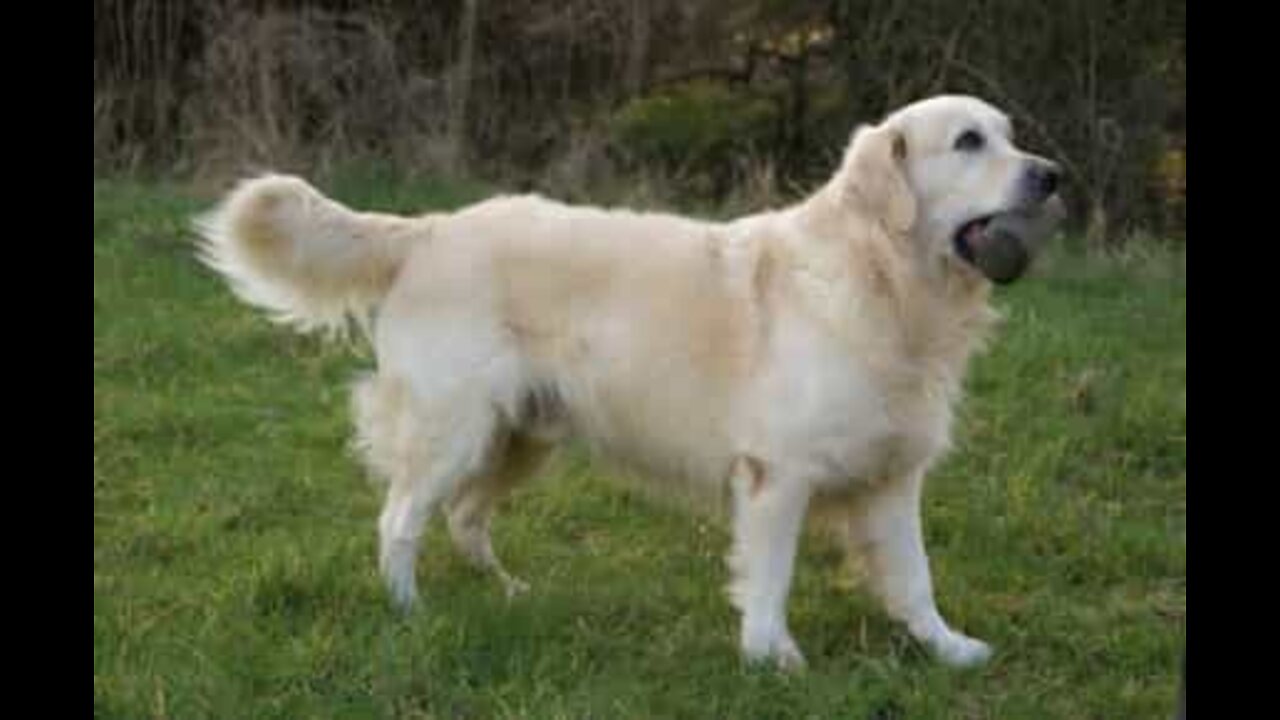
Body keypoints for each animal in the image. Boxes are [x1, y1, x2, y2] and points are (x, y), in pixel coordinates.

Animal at [194, 95, 1064, 666]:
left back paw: (506, 592)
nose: (1053, 175)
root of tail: (431, 229)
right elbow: (771, 576)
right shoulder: (777, 474)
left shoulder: (893, 476)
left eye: (1012, 136)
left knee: (466, 518)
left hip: (520, 436)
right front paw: (771, 658)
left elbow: (914, 577)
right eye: (968, 141)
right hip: (455, 428)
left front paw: (948, 648)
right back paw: (410, 612)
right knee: (400, 519)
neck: (883, 278)